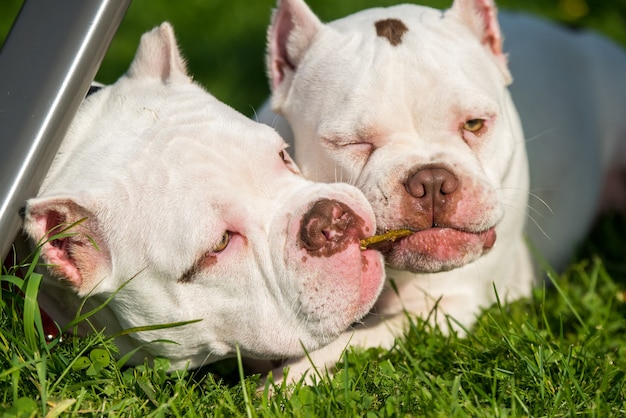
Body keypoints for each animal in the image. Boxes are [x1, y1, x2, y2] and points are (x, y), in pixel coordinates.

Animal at [255, 0, 624, 380]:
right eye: (352, 143)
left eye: (474, 124)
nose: (431, 180)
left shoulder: (442, 309)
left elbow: (349, 343)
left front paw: (286, 379)